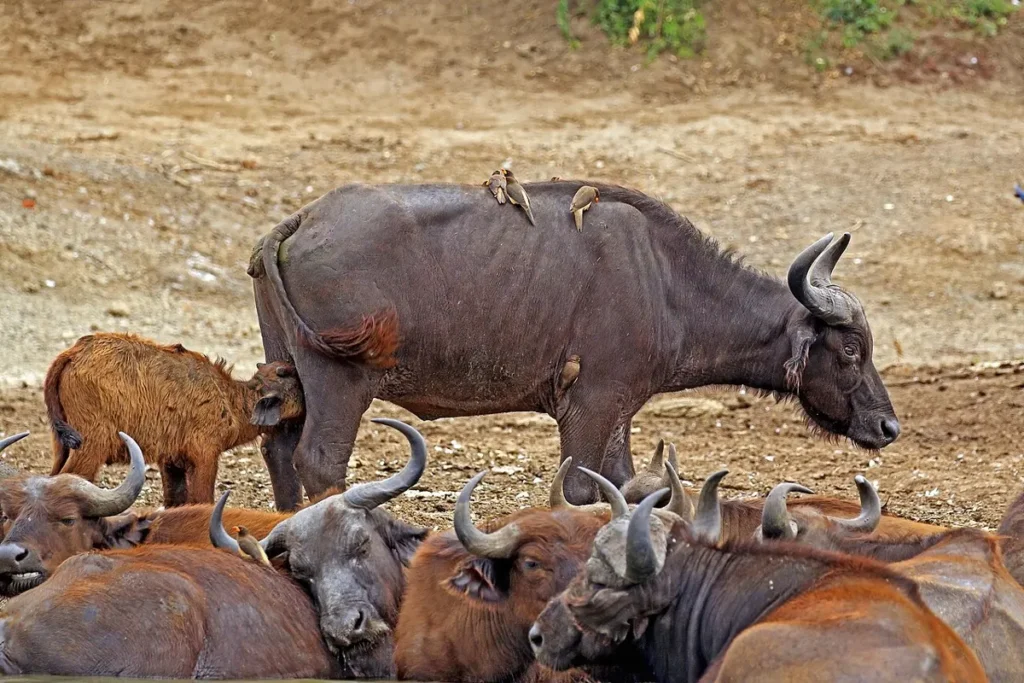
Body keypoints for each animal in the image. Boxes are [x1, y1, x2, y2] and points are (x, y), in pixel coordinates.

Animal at [44, 332, 304, 506]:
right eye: (295, 380)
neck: (229, 398)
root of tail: (73, 354)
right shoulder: (204, 458)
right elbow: (202, 500)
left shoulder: (171, 463)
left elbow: (175, 501)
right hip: (90, 447)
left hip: (62, 446)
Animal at [249, 181, 900, 509]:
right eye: (850, 349)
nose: (888, 426)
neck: (665, 280)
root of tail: (302, 219)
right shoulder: (590, 406)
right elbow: (586, 490)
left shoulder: (619, 413)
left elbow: (629, 483)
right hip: (342, 382)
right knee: (319, 461)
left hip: (287, 372)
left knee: (278, 450)